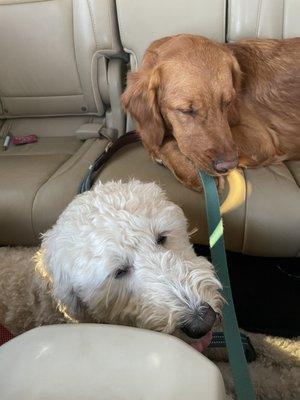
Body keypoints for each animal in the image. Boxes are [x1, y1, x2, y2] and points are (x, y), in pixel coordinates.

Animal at [122, 34, 300, 191]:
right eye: (186, 110)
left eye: (228, 102)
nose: (228, 166)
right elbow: (156, 141)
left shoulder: (260, 139)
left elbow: (167, 142)